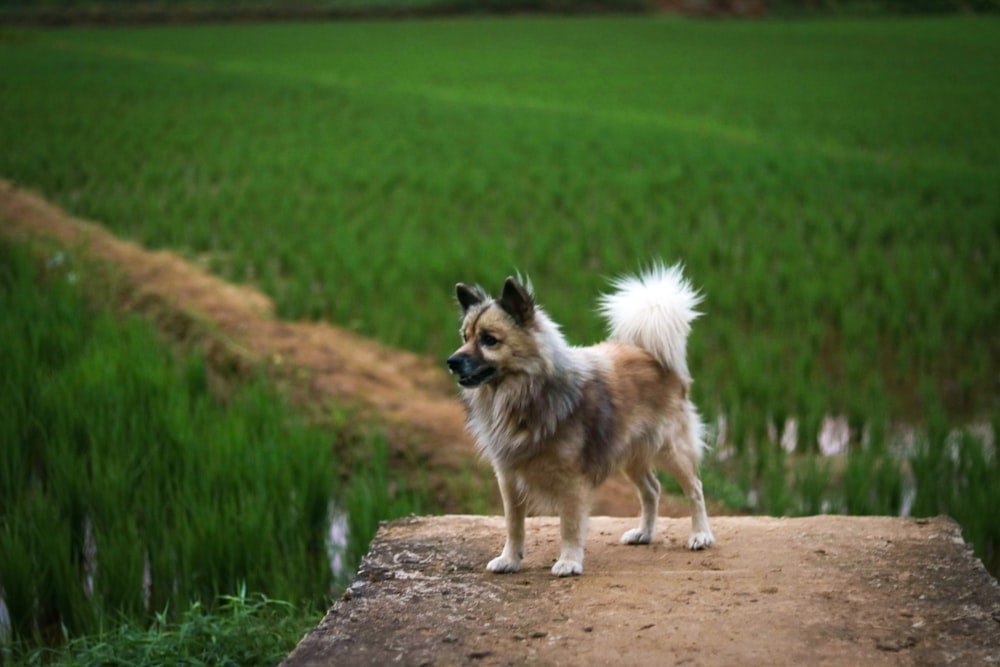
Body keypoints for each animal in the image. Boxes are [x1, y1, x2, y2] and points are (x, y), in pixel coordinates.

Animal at [450, 264, 716, 576]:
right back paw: (644, 534)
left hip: (670, 448)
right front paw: (510, 560)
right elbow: (513, 525)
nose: (452, 361)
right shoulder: (509, 476)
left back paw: (700, 535)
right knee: (652, 489)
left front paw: (569, 561)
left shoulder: (572, 480)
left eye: (489, 340)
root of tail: (647, 351)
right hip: (630, 453)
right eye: (465, 337)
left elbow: (569, 525)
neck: (524, 395)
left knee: (694, 489)